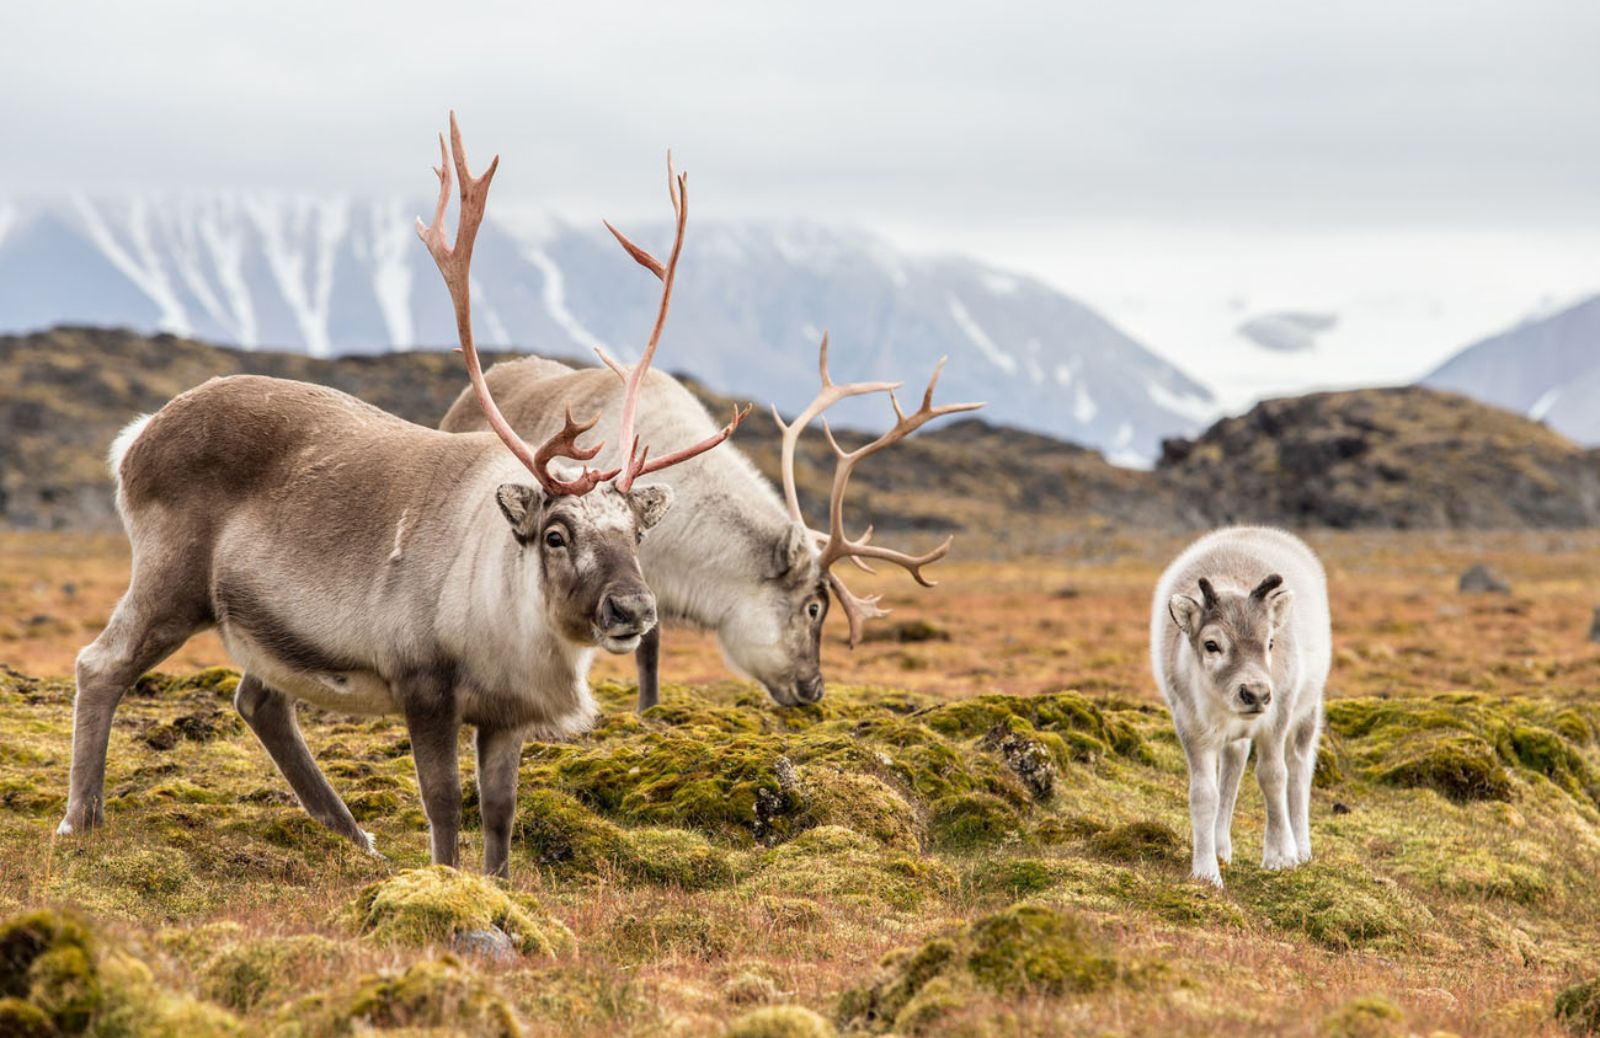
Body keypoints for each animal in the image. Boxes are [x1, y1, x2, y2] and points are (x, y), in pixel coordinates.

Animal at [1145, 527, 1331, 882]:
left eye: (1270, 642)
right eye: (1211, 644)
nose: (1255, 693)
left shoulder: (1277, 718)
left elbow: (1273, 776)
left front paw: (1279, 855)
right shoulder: (1190, 727)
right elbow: (1204, 794)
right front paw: (1206, 871)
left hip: (1308, 709)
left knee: (1299, 769)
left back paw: (1301, 847)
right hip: (1236, 736)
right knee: (1233, 766)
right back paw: (1221, 846)